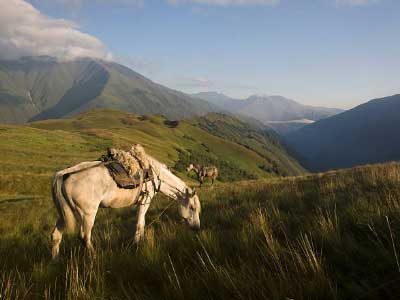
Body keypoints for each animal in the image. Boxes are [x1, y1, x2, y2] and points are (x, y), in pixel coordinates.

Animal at [50, 151, 202, 258]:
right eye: (192, 208)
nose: (197, 227)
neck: (154, 174)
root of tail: (63, 174)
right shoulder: (145, 201)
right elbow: (140, 224)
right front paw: (137, 244)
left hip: (64, 214)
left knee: (56, 235)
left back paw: (55, 259)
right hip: (87, 214)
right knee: (84, 237)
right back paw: (94, 256)